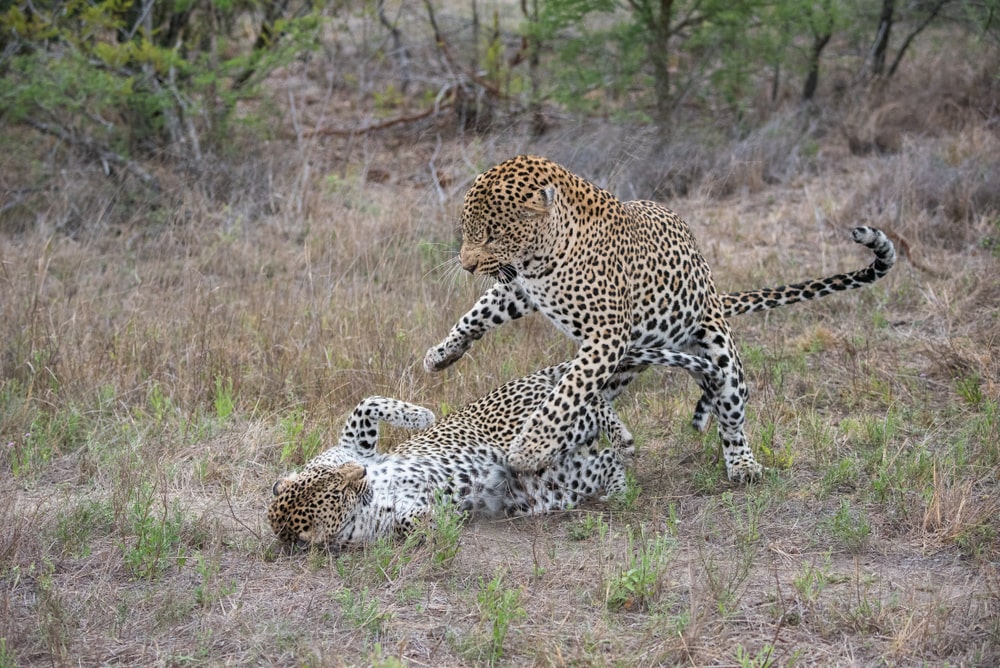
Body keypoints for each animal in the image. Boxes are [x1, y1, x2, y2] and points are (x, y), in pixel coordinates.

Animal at [267, 346, 723, 548]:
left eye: (334, 479)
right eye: (339, 493)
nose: (361, 474)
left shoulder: (351, 446)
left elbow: (365, 404)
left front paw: (422, 417)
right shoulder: (391, 523)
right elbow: (416, 524)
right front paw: (440, 514)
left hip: (527, 427)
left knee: (593, 401)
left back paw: (620, 433)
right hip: (557, 478)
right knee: (604, 455)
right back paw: (619, 481)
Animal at [423, 155, 896, 484]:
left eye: (492, 234)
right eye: (468, 232)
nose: (465, 264)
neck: (543, 256)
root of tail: (714, 293)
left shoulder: (606, 333)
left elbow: (565, 395)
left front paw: (529, 450)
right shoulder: (522, 291)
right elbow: (479, 312)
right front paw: (442, 354)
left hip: (719, 355)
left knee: (731, 415)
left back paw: (741, 463)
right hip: (627, 365)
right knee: (600, 401)